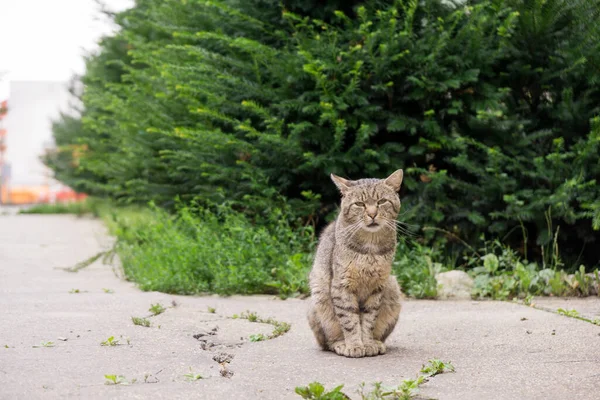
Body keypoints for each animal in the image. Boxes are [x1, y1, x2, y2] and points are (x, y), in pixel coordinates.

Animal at [310, 170, 404, 358]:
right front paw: (354, 345)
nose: (372, 214)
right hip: (320, 295)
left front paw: (367, 344)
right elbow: (349, 320)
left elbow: (368, 320)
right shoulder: (341, 286)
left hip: (393, 287)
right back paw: (341, 344)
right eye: (360, 204)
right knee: (328, 341)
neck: (370, 248)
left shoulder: (377, 287)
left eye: (381, 201)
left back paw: (377, 343)